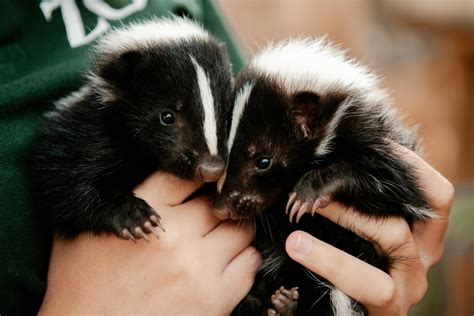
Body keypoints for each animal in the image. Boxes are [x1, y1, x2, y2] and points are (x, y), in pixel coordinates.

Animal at [30, 17, 234, 242]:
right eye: (167, 117)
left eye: (227, 112)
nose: (211, 169)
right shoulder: (83, 135)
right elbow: (65, 184)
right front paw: (135, 217)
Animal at [217, 39, 436, 316]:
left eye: (263, 161)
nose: (222, 207)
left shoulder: (388, 148)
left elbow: (391, 185)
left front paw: (307, 193)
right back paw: (281, 305)